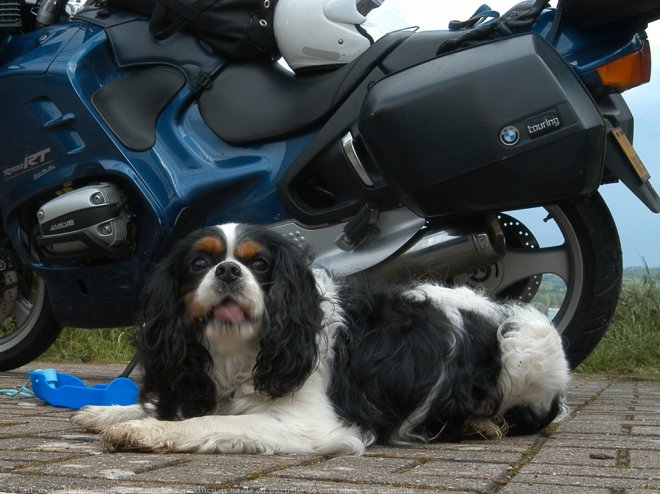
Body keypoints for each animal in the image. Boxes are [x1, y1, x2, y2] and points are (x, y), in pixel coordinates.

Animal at [69, 222, 568, 454]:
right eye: (198, 263)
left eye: (260, 264)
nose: (228, 270)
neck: (242, 352)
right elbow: (179, 407)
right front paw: (108, 412)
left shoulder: (310, 423)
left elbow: (209, 422)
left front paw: (144, 430)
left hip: (528, 343)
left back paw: (485, 423)